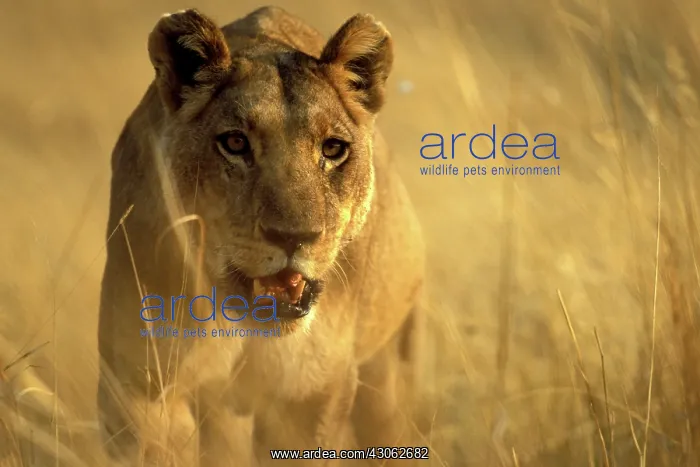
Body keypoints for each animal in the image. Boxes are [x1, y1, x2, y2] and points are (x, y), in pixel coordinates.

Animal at [96, 6, 425, 466]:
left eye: (333, 149)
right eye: (235, 143)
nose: (294, 236)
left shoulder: (311, 394)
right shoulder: (136, 385)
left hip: (389, 378)